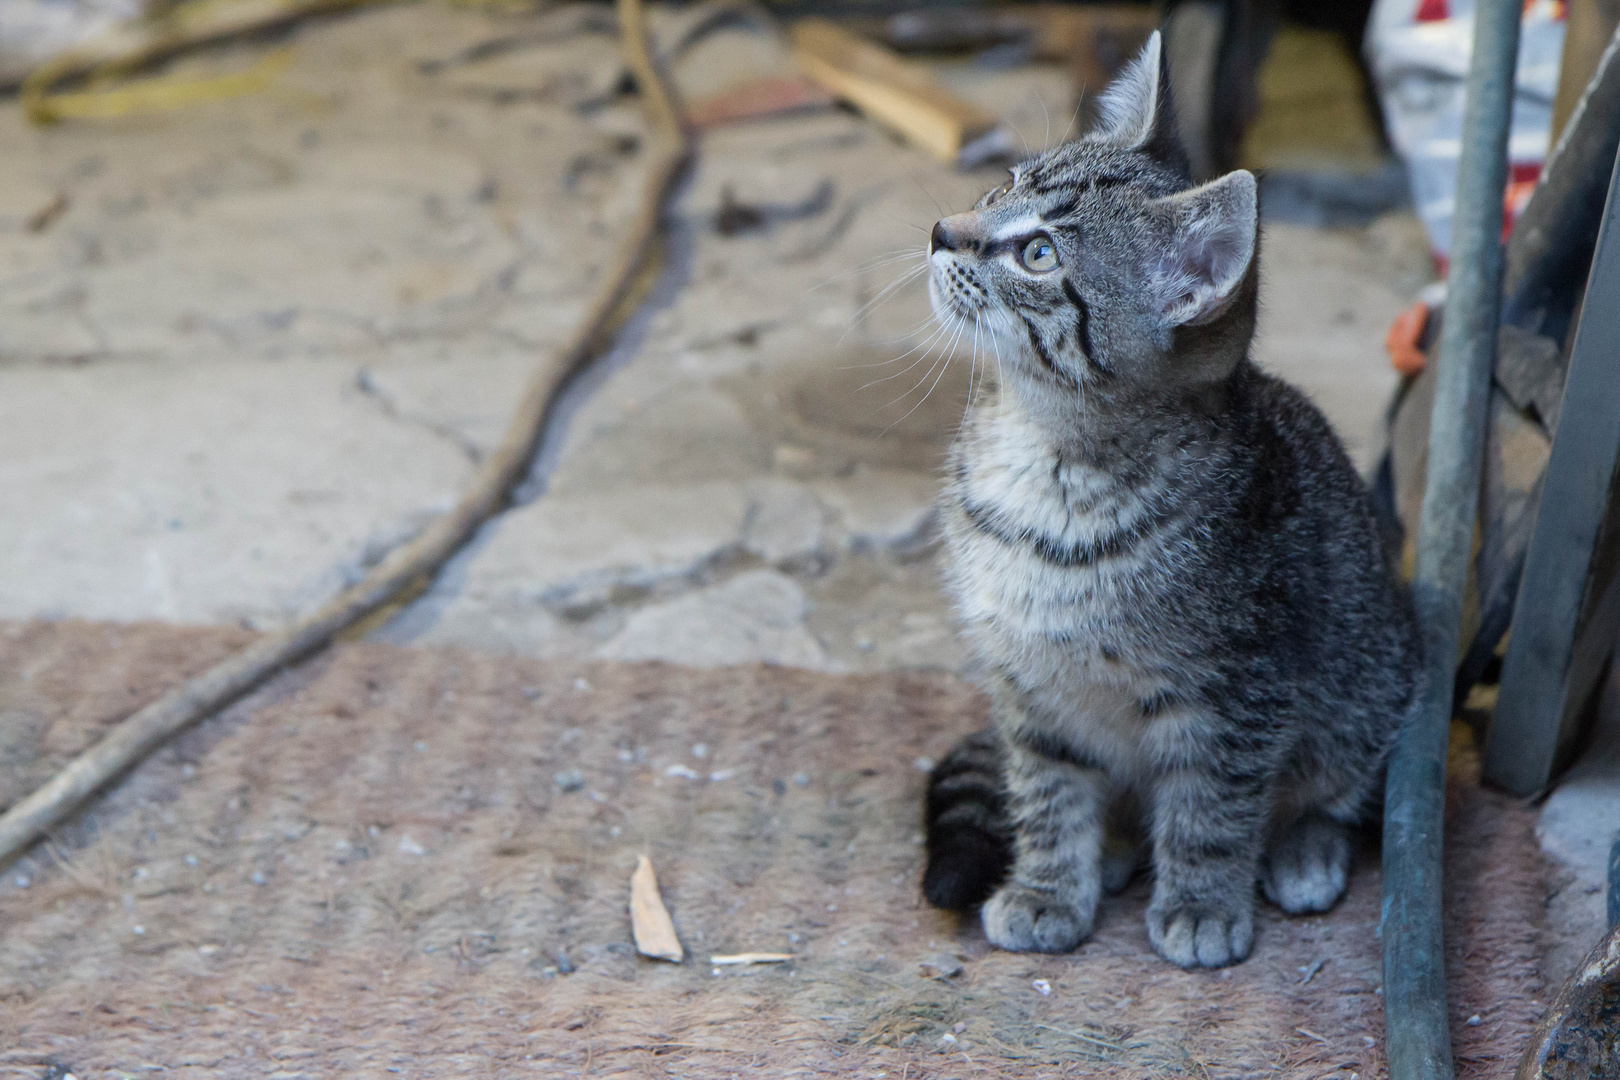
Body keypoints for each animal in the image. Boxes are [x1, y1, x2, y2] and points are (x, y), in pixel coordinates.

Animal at [920, 33, 1425, 965]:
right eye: (1003, 185)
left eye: (1039, 254)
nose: (942, 231)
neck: (1051, 461)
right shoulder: (1028, 685)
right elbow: (1045, 791)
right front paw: (1048, 888)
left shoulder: (1237, 689)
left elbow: (1211, 809)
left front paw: (1200, 903)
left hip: (1369, 682)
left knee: (1334, 787)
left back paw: (1302, 848)